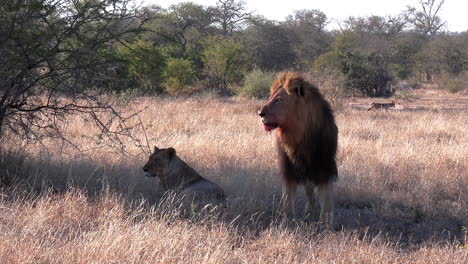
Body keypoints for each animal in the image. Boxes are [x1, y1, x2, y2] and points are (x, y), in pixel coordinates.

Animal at [258, 71, 338, 225]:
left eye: (278, 100)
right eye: (270, 97)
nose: (260, 113)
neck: (298, 137)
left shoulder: (325, 167)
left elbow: (326, 199)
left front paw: (326, 224)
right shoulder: (288, 169)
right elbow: (288, 199)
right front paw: (287, 222)